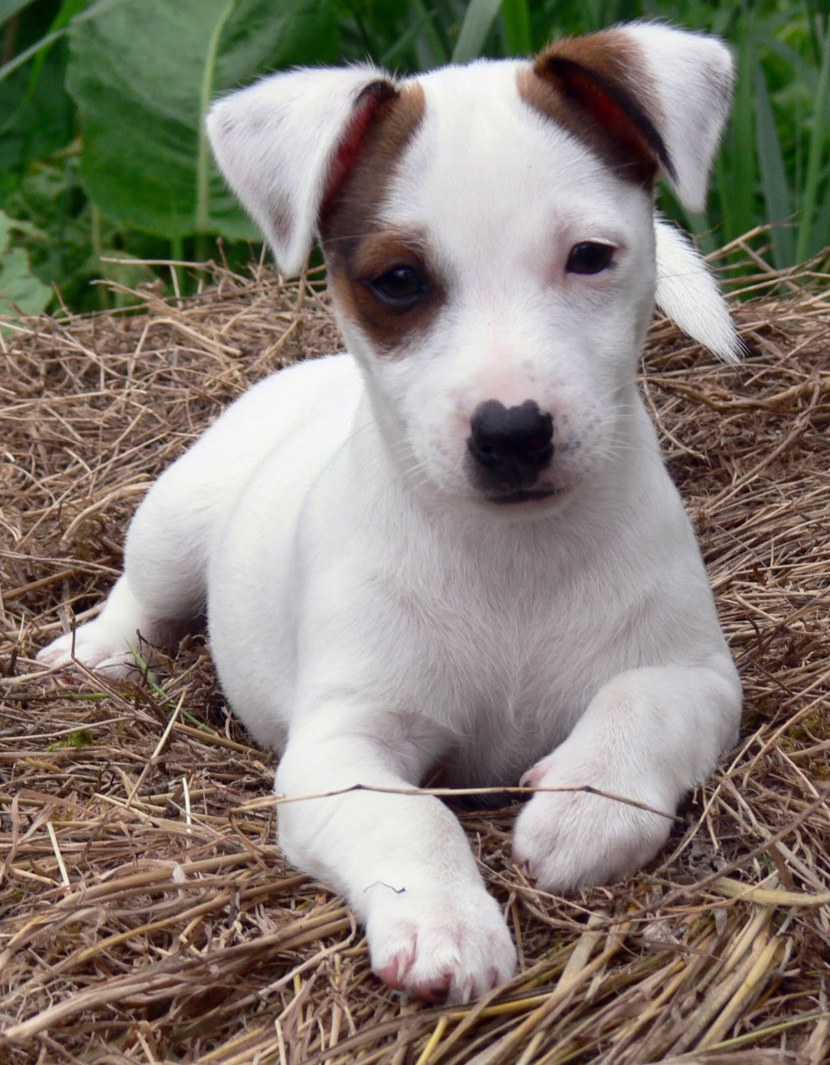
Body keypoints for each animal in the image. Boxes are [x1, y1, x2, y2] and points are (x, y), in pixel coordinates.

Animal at [38, 25, 741, 1005]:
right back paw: (93, 650)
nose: (513, 432)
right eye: (399, 280)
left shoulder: (698, 675)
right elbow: (410, 817)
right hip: (175, 519)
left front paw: (581, 809)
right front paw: (444, 919)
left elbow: (641, 704)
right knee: (143, 593)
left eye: (590, 256)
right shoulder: (339, 749)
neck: (510, 555)